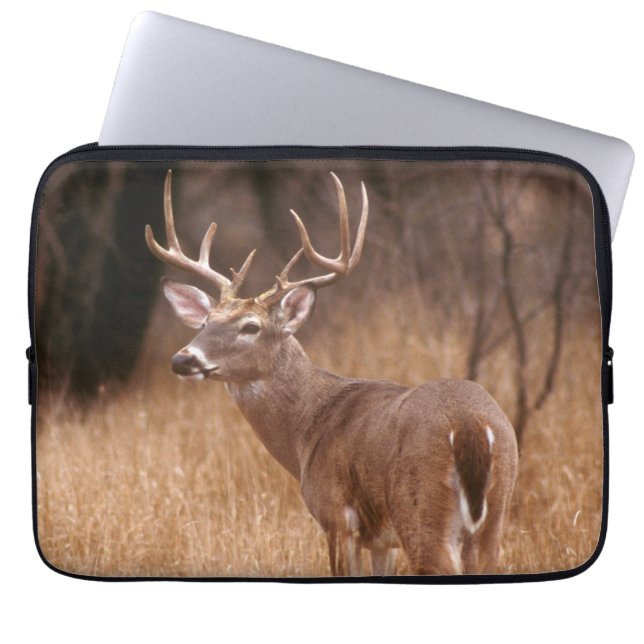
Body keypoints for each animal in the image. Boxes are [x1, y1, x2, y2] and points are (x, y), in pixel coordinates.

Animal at [145, 169, 519, 576]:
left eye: (250, 327)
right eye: (206, 322)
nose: (183, 359)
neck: (306, 430)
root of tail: (470, 425)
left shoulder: (335, 514)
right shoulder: (380, 541)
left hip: (420, 508)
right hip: (495, 514)